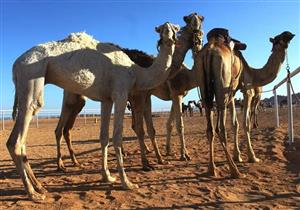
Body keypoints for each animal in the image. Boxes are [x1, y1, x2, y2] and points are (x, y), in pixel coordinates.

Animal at [7, 22, 180, 201]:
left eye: (175, 29)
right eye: (162, 30)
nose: (169, 38)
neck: (136, 72)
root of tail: (16, 65)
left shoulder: (107, 99)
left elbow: (103, 137)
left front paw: (108, 176)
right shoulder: (121, 92)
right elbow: (117, 137)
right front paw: (127, 183)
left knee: (24, 139)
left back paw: (40, 187)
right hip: (31, 76)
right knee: (16, 139)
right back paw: (33, 193)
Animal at [54, 12, 204, 171]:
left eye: (201, 20)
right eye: (188, 20)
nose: (198, 34)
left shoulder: (148, 95)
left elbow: (152, 128)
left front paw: (160, 158)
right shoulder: (161, 94)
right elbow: (149, 127)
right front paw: (160, 160)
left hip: (80, 99)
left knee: (67, 129)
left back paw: (75, 161)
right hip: (72, 97)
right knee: (60, 128)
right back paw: (61, 164)